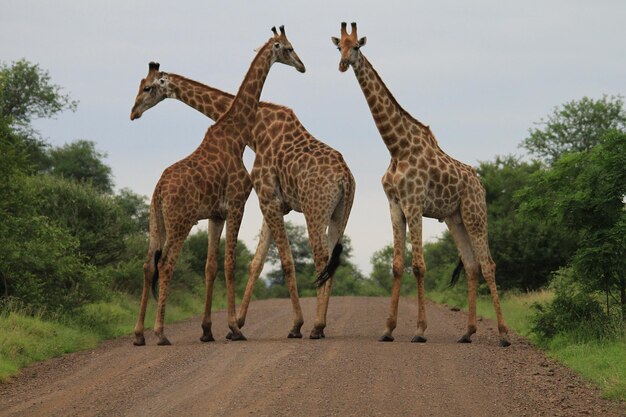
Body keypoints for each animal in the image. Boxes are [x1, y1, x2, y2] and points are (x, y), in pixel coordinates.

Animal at [129, 53, 354, 342]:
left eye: (148, 88)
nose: (134, 112)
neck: (255, 131)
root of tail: (346, 178)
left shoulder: (265, 198)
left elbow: (284, 261)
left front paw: (292, 325)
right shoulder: (275, 203)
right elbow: (257, 263)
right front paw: (238, 322)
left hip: (315, 211)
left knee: (321, 260)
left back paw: (316, 326)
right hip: (341, 214)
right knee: (332, 262)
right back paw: (321, 325)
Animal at [332, 22, 508, 344]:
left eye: (357, 46)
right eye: (339, 46)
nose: (342, 65)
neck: (396, 146)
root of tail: (480, 183)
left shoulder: (414, 203)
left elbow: (419, 266)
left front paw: (419, 330)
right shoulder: (394, 205)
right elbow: (397, 265)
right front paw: (388, 329)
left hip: (475, 214)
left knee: (488, 264)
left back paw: (502, 334)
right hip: (454, 219)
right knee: (472, 266)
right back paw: (467, 333)